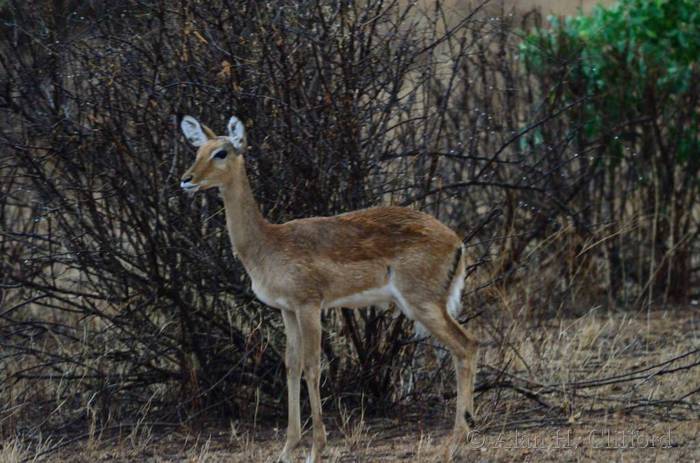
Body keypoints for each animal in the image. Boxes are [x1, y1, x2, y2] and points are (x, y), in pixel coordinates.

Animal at [179, 115, 479, 462]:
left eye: (222, 152)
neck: (268, 243)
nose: (186, 180)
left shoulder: (309, 306)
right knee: (466, 346)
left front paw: (316, 449)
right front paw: (287, 449)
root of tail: (456, 240)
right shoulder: (287, 311)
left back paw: (456, 440)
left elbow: (312, 367)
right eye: (198, 150)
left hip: (423, 304)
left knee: (466, 345)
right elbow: (292, 367)